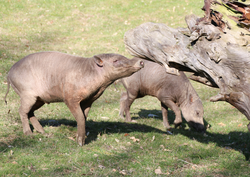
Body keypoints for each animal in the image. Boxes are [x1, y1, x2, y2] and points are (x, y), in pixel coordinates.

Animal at [3, 51, 144, 145]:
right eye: (116, 60)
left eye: (124, 57)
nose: (141, 61)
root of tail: (8, 75)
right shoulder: (70, 98)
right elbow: (80, 117)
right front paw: (80, 143)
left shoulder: (88, 100)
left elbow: (84, 117)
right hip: (27, 94)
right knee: (22, 111)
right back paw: (29, 133)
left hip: (40, 99)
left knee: (30, 112)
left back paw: (43, 132)